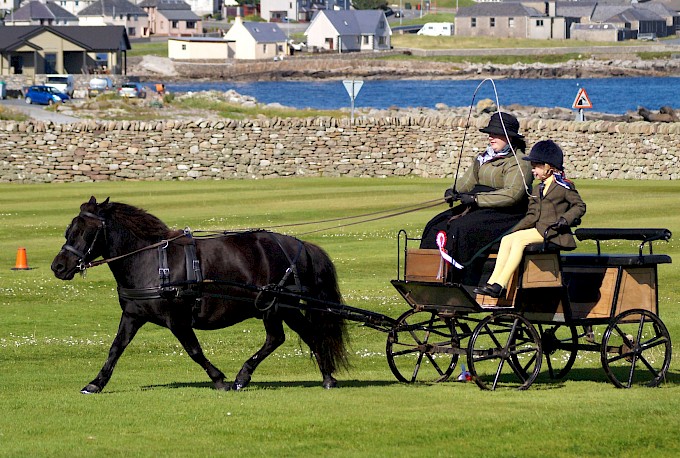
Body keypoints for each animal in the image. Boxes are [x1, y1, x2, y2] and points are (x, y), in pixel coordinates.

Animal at [52, 197, 348, 394]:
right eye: (69, 230)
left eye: (85, 232)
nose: (59, 266)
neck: (150, 261)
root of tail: (299, 244)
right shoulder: (133, 314)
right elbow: (116, 348)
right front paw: (95, 383)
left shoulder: (177, 319)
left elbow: (194, 350)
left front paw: (219, 379)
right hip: (275, 307)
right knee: (288, 337)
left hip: (279, 305)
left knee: (295, 336)